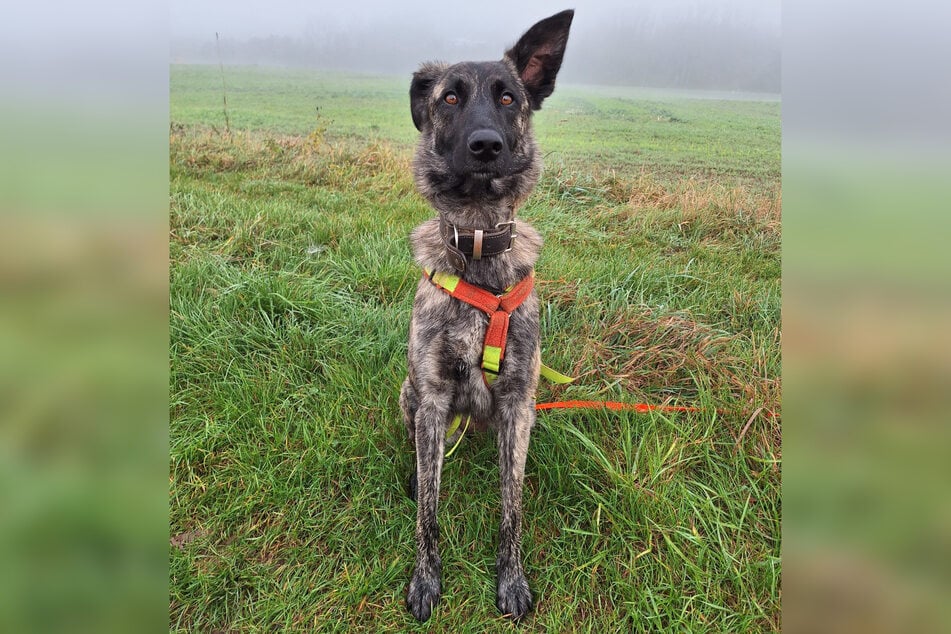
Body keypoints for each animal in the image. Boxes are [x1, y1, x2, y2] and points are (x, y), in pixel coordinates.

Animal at [400, 11, 576, 624]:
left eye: (508, 97)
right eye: (450, 97)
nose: (486, 146)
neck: (477, 240)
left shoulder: (519, 402)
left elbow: (512, 507)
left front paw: (511, 578)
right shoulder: (431, 397)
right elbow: (429, 512)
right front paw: (426, 580)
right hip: (407, 395)